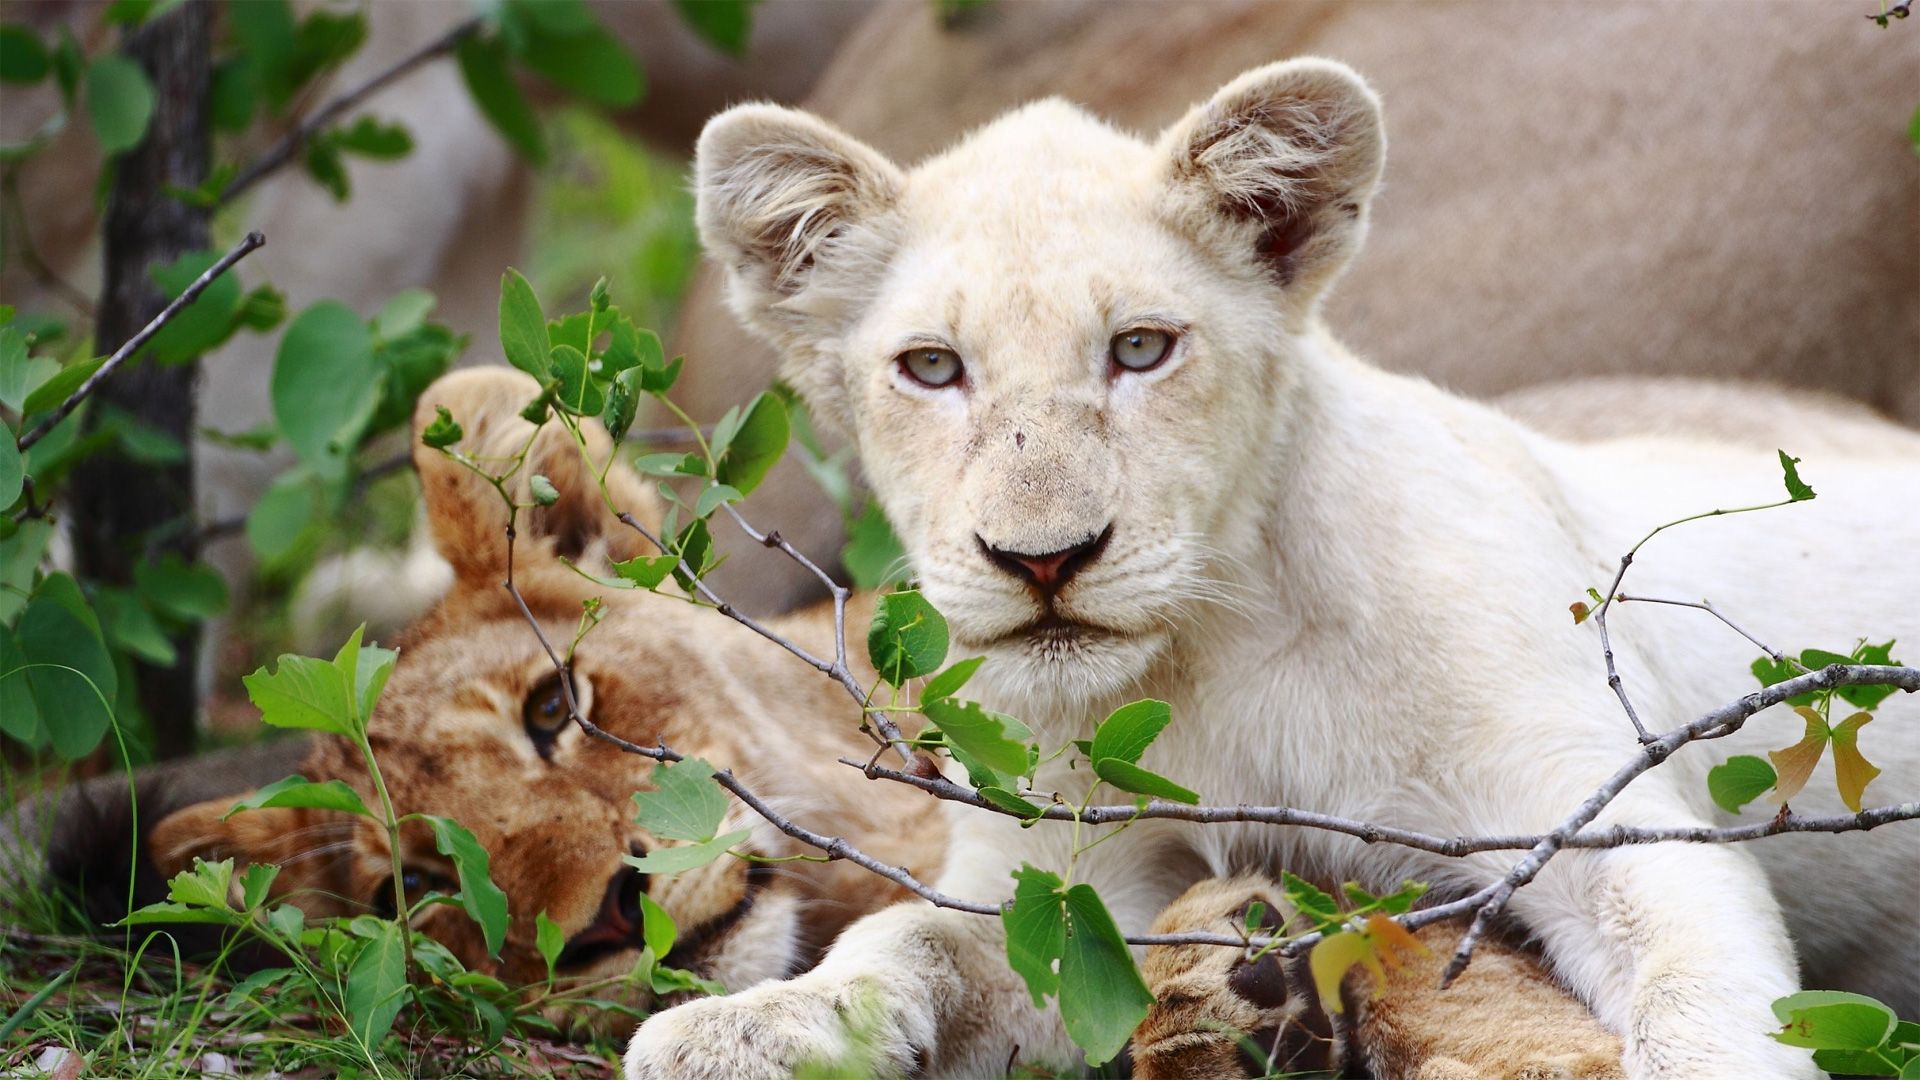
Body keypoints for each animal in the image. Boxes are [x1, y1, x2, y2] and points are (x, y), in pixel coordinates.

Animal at [619, 57, 1920, 1078]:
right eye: (933, 368)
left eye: (1141, 349)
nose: (1044, 561)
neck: (1217, 655)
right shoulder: (1068, 895)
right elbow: (909, 939)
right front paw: (753, 1024)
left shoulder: (1600, 824)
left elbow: (1697, 1003)